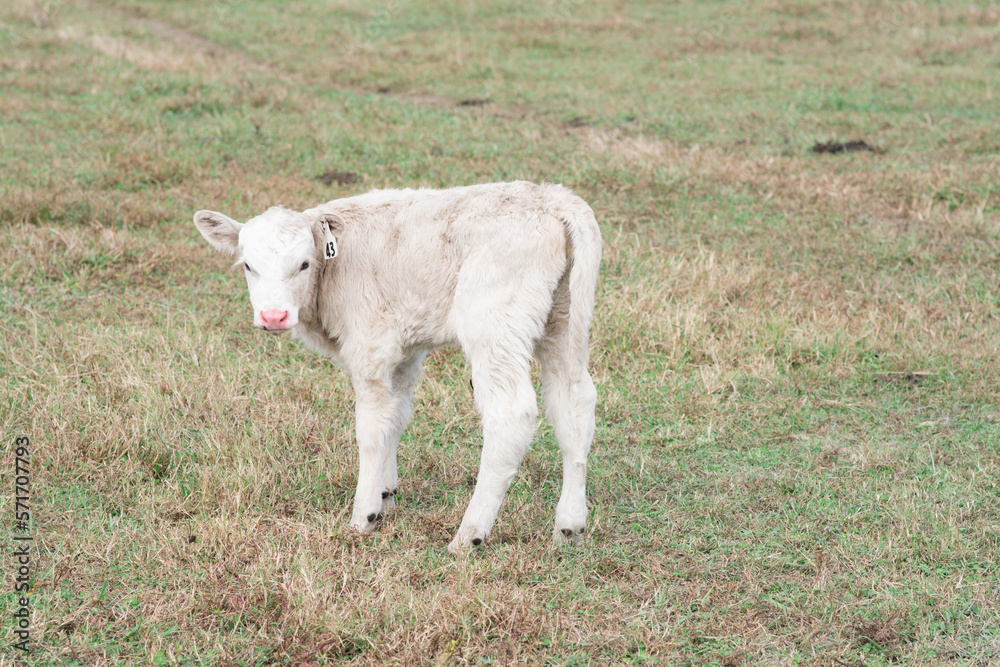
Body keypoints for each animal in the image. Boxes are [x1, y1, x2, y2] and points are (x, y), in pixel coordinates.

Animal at [193, 181, 601, 553]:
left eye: (304, 264)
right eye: (249, 266)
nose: (273, 316)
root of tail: (554, 198)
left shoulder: (371, 348)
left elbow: (372, 429)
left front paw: (364, 515)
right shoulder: (404, 351)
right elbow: (396, 414)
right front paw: (386, 492)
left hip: (494, 324)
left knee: (511, 415)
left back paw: (469, 535)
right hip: (563, 322)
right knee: (574, 403)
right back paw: (569, 526)